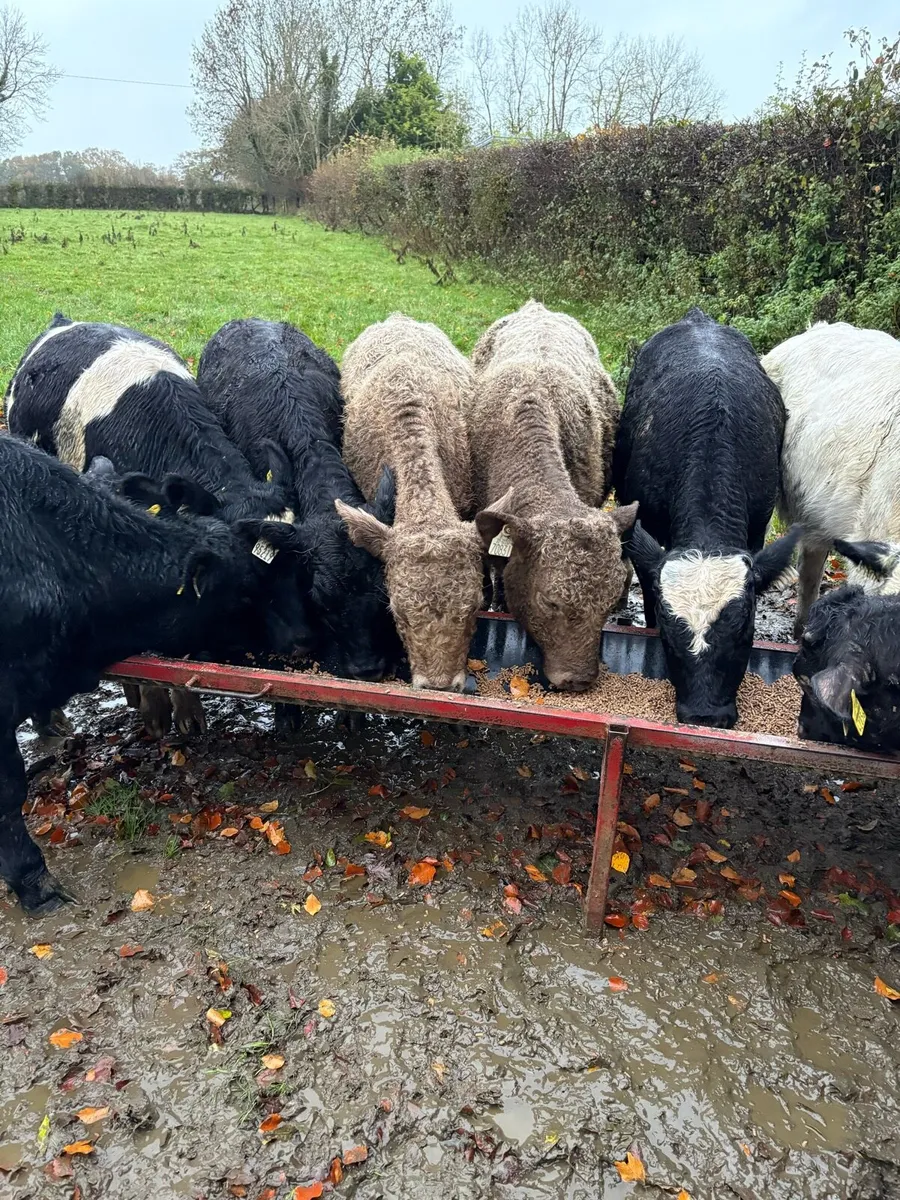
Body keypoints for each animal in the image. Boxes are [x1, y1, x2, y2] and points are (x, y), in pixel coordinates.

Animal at [6, 314, 311, 736]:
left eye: (299, 564)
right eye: (249, 584)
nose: (301, 641)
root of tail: (63, 322)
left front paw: (185, 711)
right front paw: (157, 708)